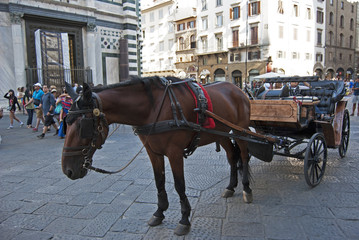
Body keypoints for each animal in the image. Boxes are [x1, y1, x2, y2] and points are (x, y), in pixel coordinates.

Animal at [62, 76, 252, 234]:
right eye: (66, 122)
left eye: (82, 126)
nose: (67, 170)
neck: (153, 109)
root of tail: (237, 88)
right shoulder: (152, 152)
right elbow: (159, 181)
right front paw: (159, 212)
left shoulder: (175, 152)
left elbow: (179, 185)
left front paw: (184, 219)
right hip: (222, 134)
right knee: (232, 157)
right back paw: (231, 187)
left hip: (240, 130)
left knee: (243, 156)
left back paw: (246, 188)